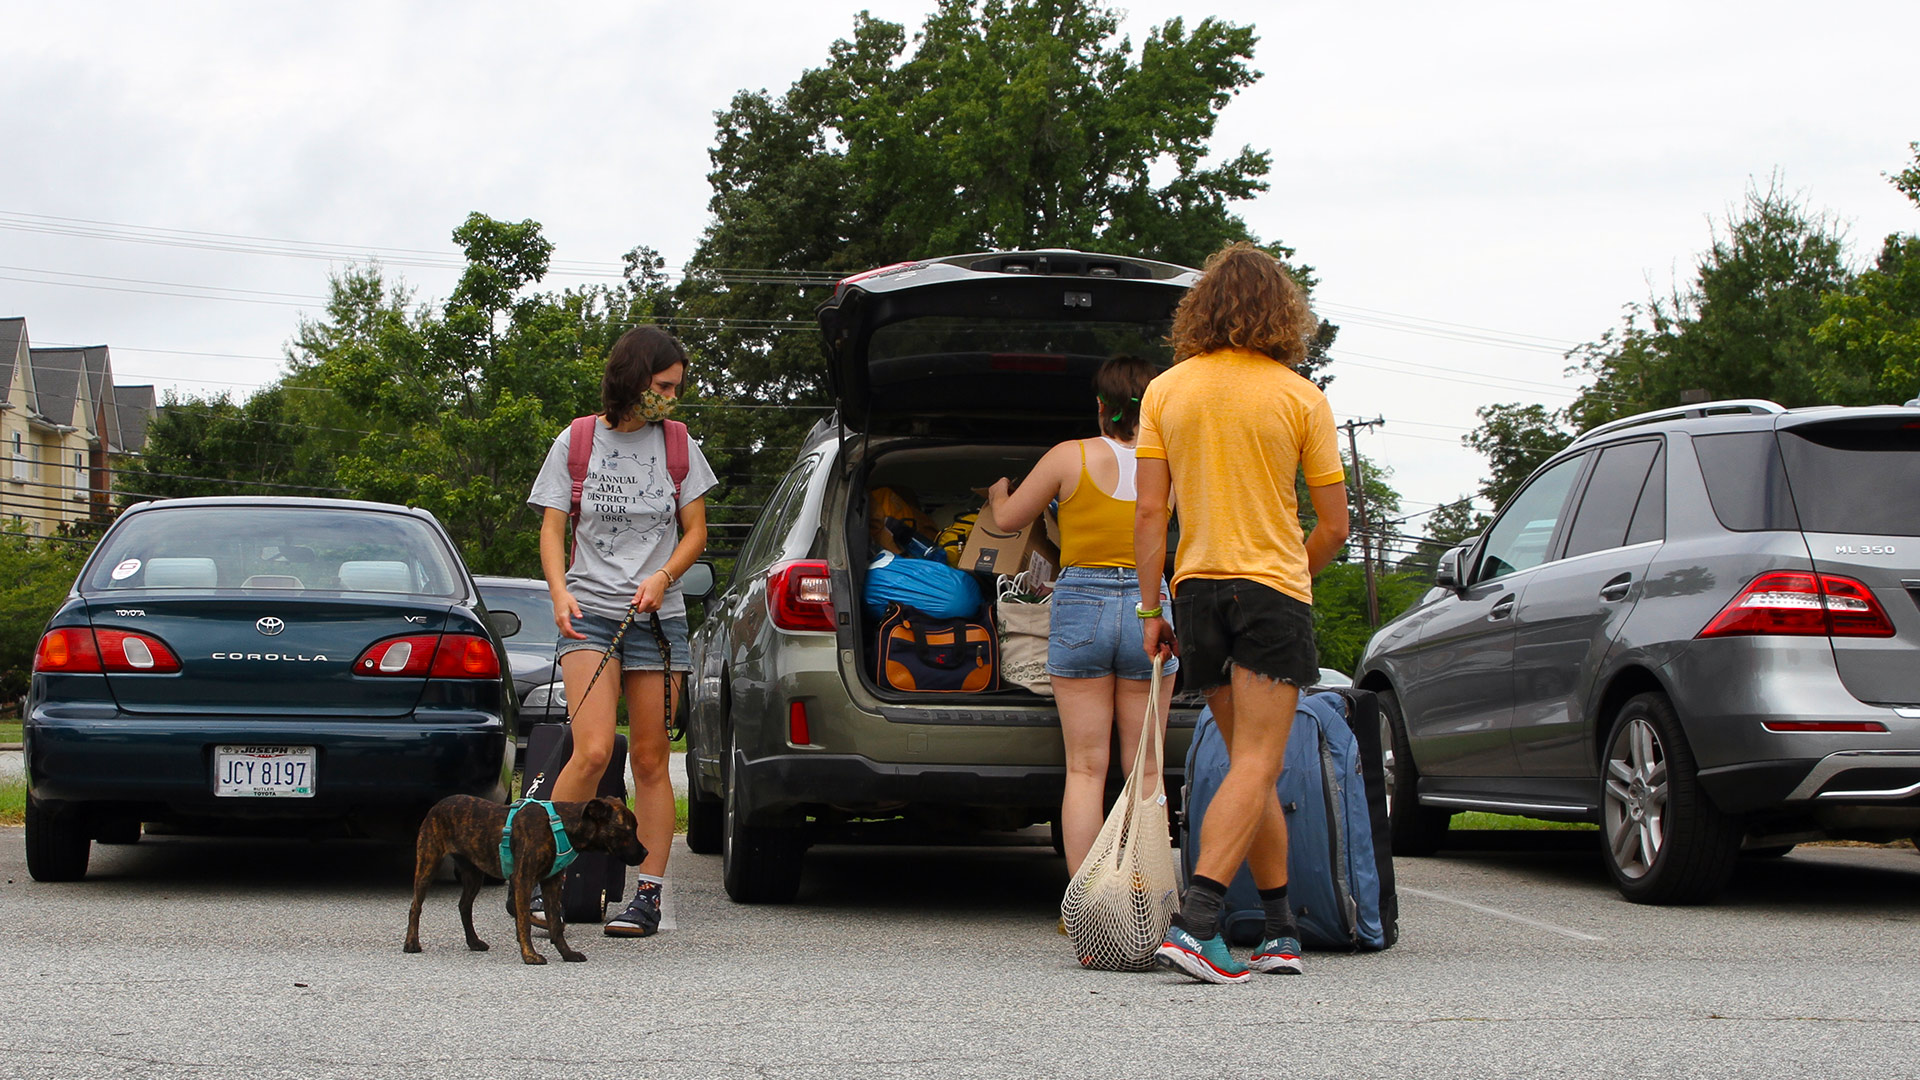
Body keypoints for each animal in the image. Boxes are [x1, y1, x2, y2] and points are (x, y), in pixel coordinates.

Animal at [403, 791, 645, 957]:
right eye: (627, 830)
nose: (645, 852)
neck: (561, 826)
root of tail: (439, 803)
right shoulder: (523, 880)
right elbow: (524, 923)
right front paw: (530, 956)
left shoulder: (552, 883)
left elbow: (555, 923)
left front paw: (566, 954)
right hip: (428, 862)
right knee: (416, 906)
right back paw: (411, 943)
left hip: (473, 874)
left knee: (464, 906)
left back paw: (473, 942)